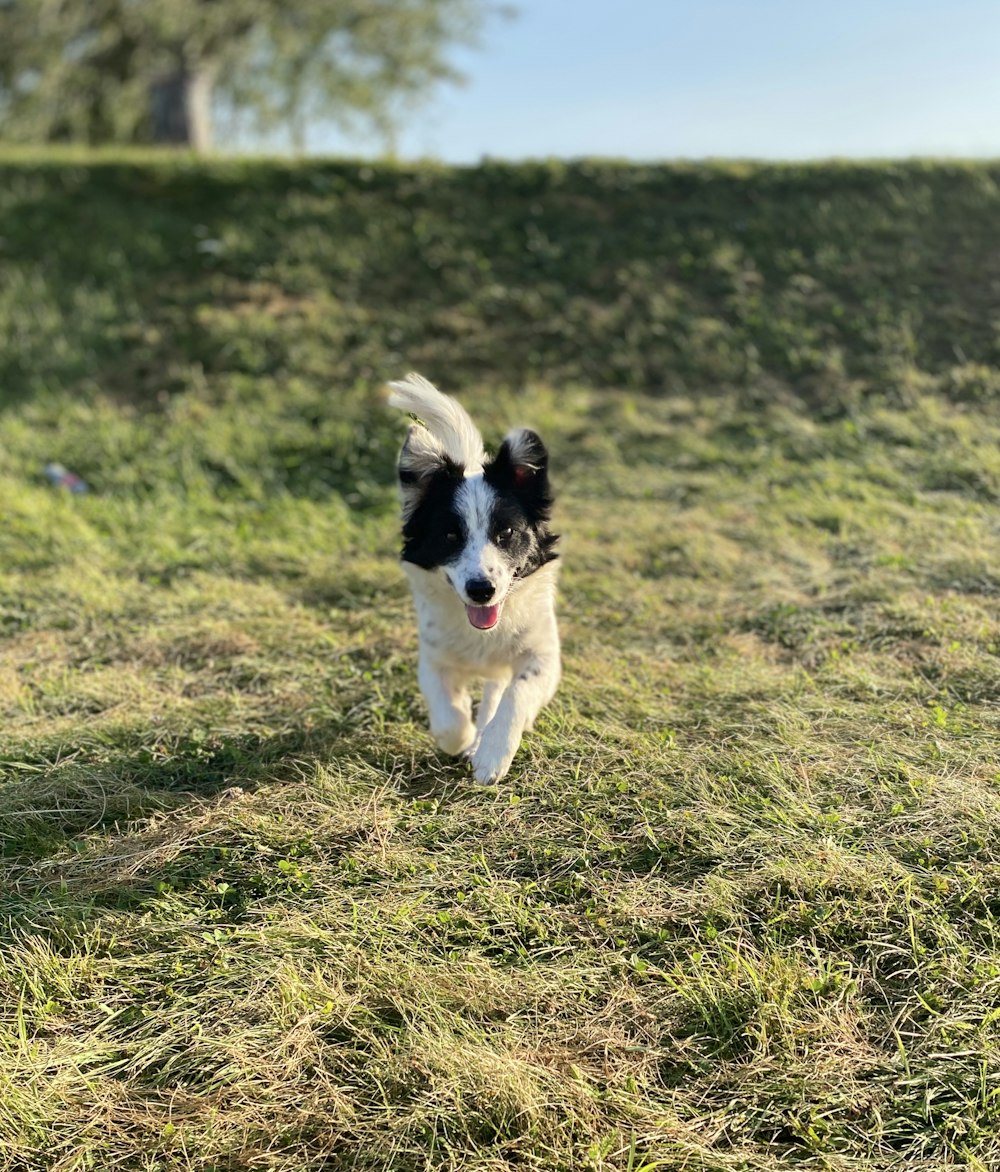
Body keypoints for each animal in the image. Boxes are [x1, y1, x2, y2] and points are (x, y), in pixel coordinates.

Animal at [389, 370, 562, 782]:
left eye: (506, 533)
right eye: (451, 536)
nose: (482, 590)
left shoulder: (544, 657)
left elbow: (515, 694)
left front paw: (492, 753)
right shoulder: (434, 659)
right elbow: (448, 717)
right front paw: (464, 740)